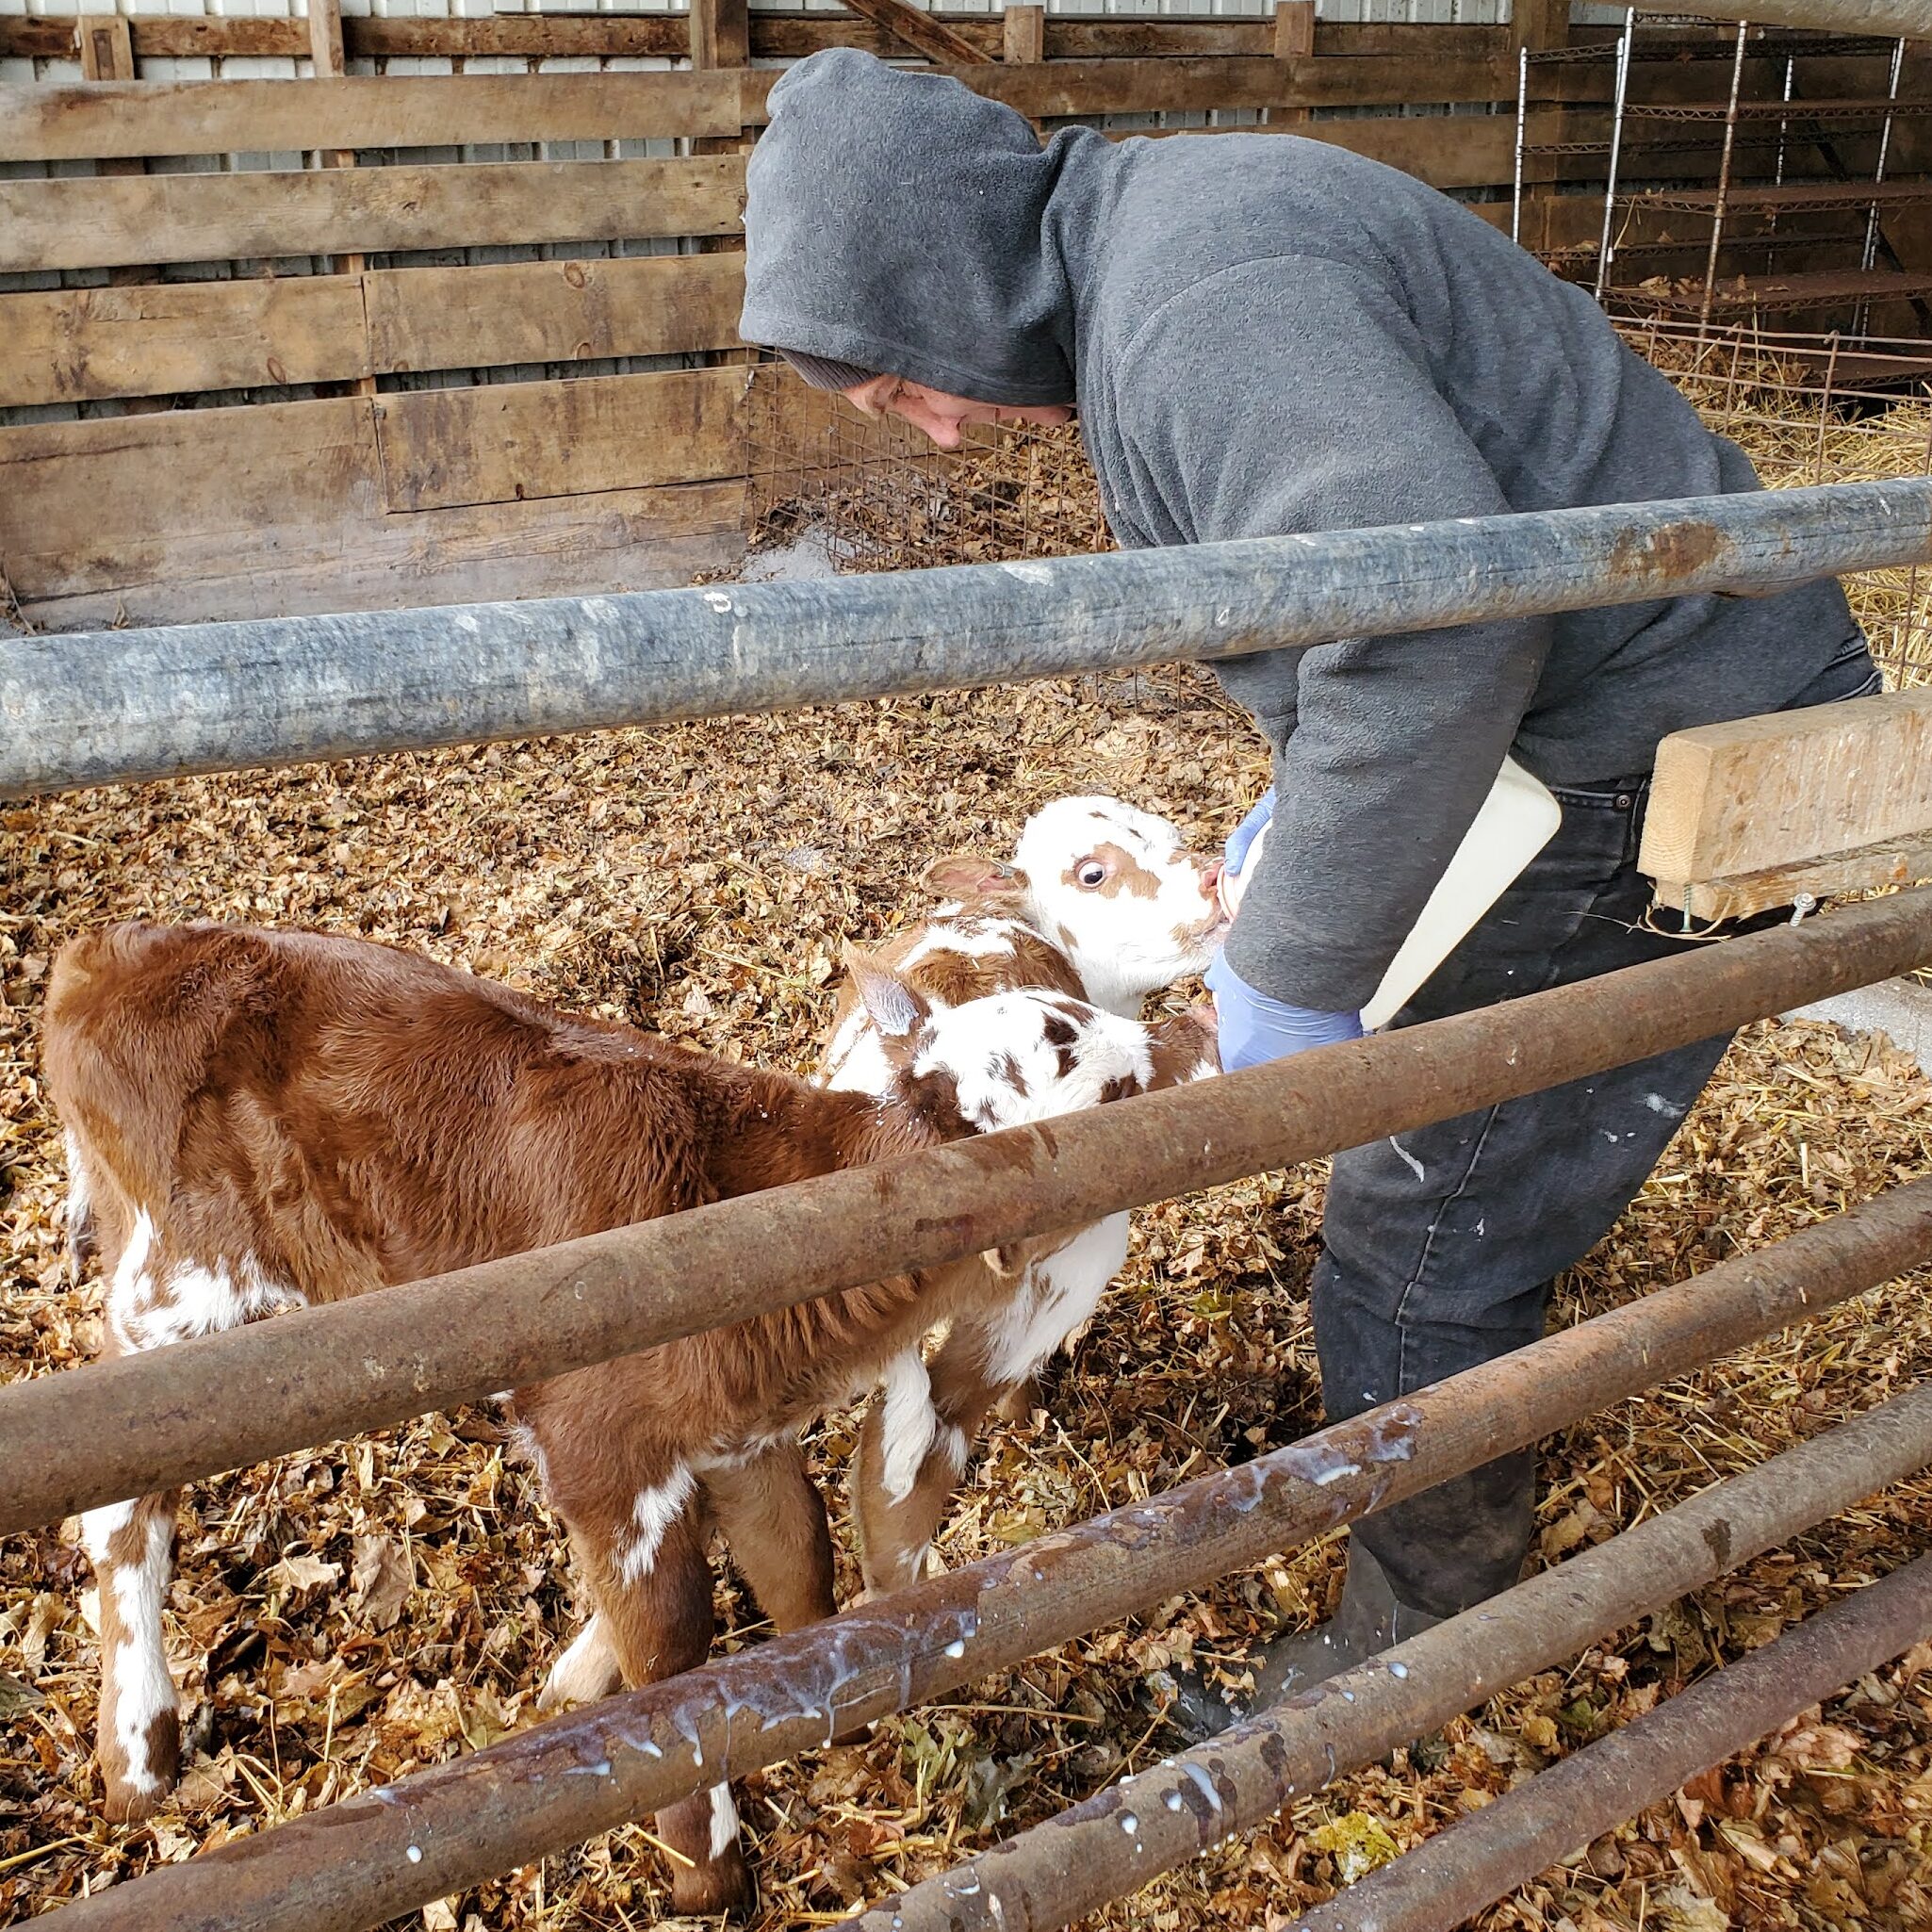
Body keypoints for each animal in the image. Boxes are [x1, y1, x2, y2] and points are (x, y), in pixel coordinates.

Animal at [45, 919, 1205, 1916]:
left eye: (1061, 1004)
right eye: (1061, 1039)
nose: (1186, 1034)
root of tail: (112, 950)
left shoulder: (741, 1428)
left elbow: (799, 1565)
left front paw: (827, 1717)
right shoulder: (604, 1452)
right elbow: (671, 1651)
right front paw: (709, 1872)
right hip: (180, 1287)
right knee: (121, 1510)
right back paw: (139, 1755)